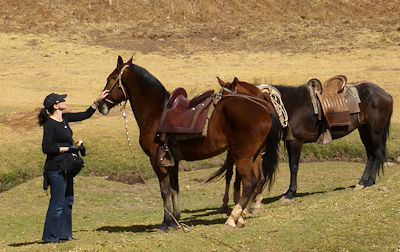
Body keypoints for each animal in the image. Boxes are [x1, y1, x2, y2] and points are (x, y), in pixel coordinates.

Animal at [97, 56, 280, 229]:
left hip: (243, 157)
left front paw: (166, 222)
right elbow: (174, 188)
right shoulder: (172, 161)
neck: (156, 113)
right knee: (258, 180)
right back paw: (242, 217)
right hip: (255, 156)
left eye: (109, 78)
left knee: (250, 182)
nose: (100, 105)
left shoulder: (156, 161)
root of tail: (264, 109)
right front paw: (175, 220)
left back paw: (232, 219)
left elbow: (164, 191)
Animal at [211, 77, 392, 209]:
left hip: (374, 131)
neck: (282, 104)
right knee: (370, 155)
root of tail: (385, 94)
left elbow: (294, 166)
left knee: (376, 153)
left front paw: (290, 194)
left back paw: (369, 182)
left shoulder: (296, 142)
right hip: (364, 130)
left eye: (228, 101)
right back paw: (362, 182)